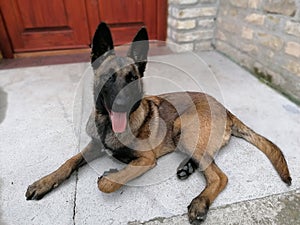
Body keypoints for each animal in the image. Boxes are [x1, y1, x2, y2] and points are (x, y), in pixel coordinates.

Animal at [25, 22, 290, 224]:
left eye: (133, 79)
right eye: (109, 78)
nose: (123, 103)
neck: (109, 126)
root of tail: (227, 110)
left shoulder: (146, 160)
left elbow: (108, 183)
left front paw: (111, 175)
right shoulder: (93, 146)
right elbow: (69, 161)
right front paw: (45, 181)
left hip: (183, 126)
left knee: (219, 176)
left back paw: (200, 202)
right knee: (207, 162)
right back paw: (187, 167)